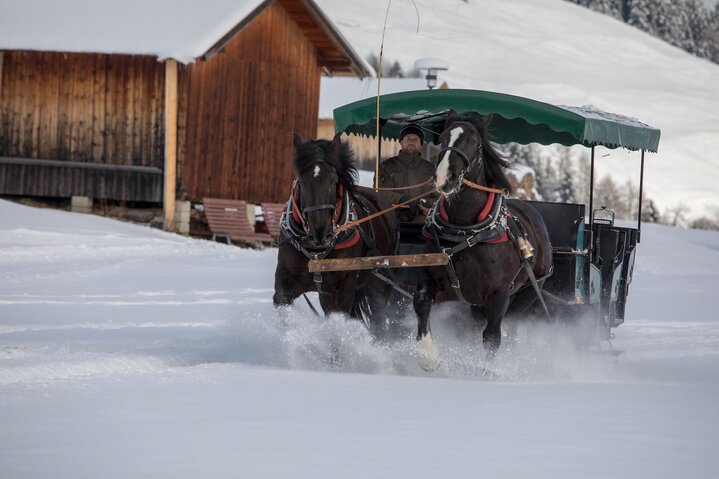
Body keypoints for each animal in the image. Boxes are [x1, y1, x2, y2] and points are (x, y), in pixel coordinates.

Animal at [274, 133, 400, 336]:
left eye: (333, 182)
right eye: (302, 182)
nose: (319, 232)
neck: (316, 250)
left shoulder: (342, 289)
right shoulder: (286, 280)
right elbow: (282, 300)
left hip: (379, 284)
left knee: (378, 317)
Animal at [410, 112, 556, 372]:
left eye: (474, 142)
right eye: (443, 138)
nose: (443, 179)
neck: (465, 233)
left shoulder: (499, 294)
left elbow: (491, 337)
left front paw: (485, 371)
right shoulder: (432, 277)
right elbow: (421, 303)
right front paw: (428, 356)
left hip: (530, 290)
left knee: (509, 326)